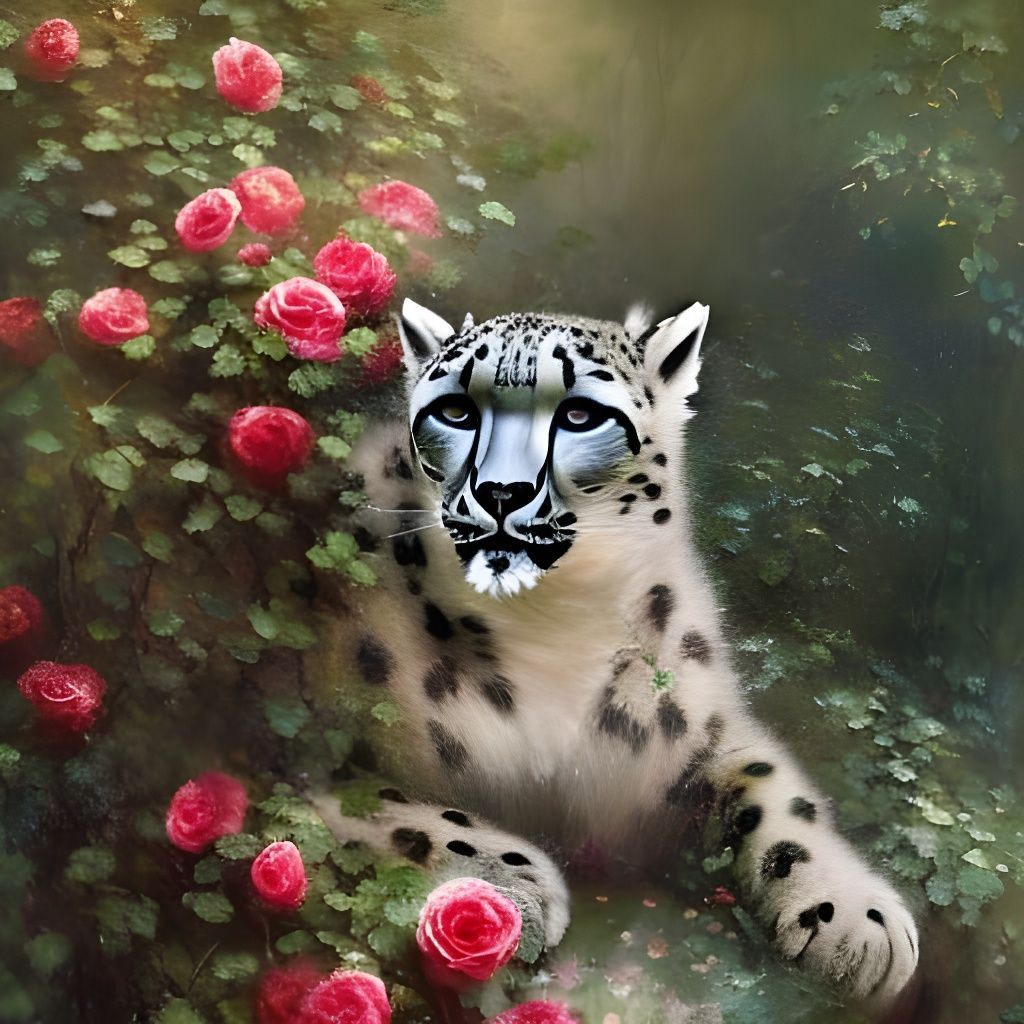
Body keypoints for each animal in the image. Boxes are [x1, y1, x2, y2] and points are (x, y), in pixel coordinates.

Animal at [313, 297, 919, 1007]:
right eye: (455, 410)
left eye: (581, 413)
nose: (501, 492)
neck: (551, 627)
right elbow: (376, 801)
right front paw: (507, 886)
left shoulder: (693, 726)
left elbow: (773, 785)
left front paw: (855, 919)